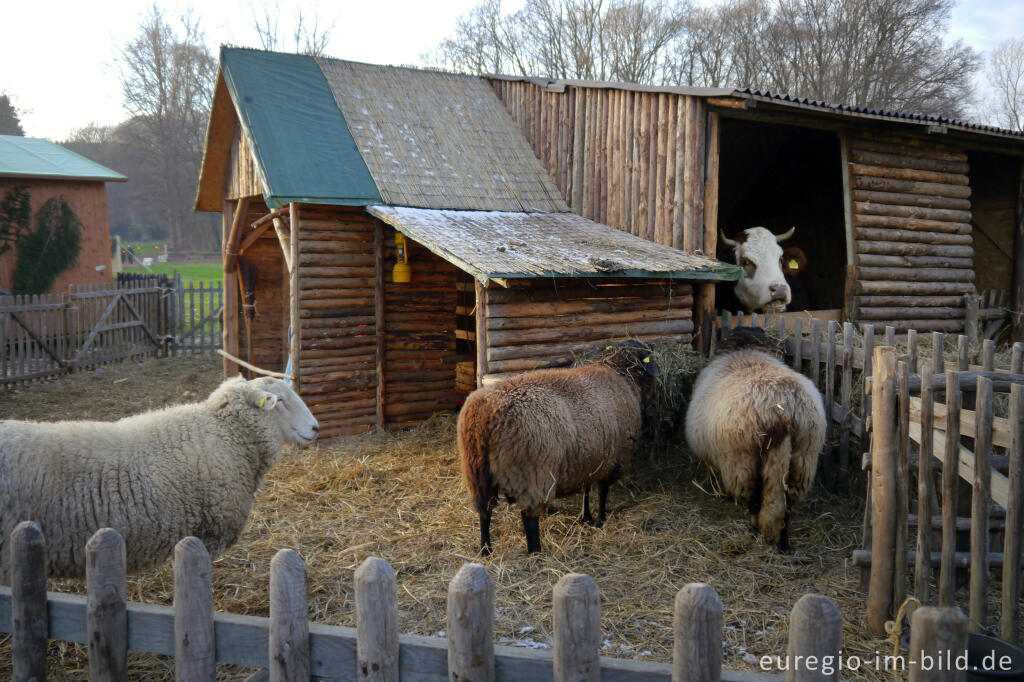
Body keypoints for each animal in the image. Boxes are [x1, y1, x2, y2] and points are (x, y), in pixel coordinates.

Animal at [460, 342, 659, 557]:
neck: (622, 376)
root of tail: (486, 411)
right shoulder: (614, 459)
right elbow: (602, 492)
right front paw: (600, 520)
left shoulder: (588, 458)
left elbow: (586, 490)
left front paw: (586, 517)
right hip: (532, 475)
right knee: (529, 517)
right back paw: (536, 552)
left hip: (477, 473)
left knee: (484, 512)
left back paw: (485, 549)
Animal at [684, 327, 827, 548]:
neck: (746, 350)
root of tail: (781, 412)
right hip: (804, 458)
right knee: (786, 504)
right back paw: (783, 543)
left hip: (742, 463)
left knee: (754, 501)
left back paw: (753, 531)